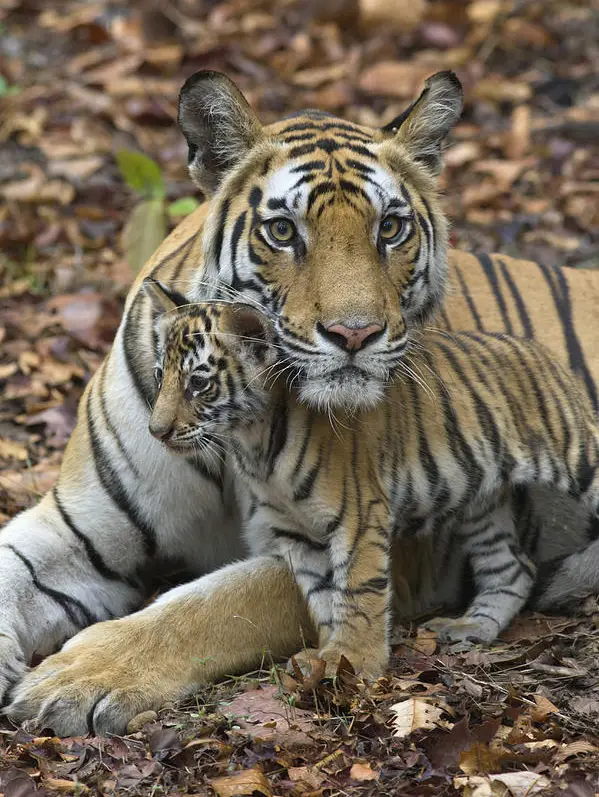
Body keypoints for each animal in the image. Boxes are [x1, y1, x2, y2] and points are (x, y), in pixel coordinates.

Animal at [3, 70, 599, 732]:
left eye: (390, 228)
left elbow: (214, 605)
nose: (355, 334)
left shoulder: (391, 545)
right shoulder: (78, 526)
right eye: (283, 231)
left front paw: (79, 678)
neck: (231, 430)